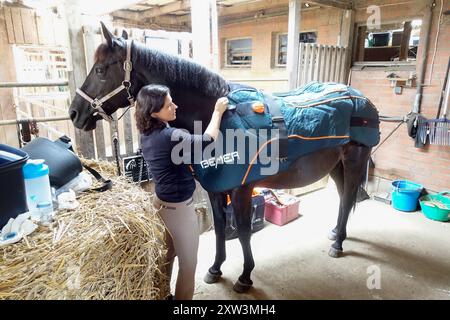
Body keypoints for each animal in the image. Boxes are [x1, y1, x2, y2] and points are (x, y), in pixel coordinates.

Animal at [70, 22, 378, 292]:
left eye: (100, 69)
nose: (74, 113)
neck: (218, 117)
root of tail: (360, 98)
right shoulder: (216, 190)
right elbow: (220, 228)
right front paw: (215, 269)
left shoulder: (241, 189)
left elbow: (242, 231)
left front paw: (245, 276)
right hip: (336, 166)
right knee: (344, 197)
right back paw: (336, 234)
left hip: (353, 162)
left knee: (348, 197)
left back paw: (338, 244)